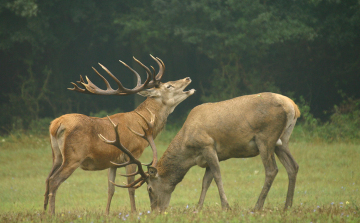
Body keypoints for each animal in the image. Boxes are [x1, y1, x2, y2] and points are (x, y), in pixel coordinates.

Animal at [43, 54, 195, 214]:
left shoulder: (113, 161)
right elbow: (131, 187)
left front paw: (107, 213)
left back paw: (44, 212)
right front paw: (134, 212)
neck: (144, 123)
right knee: (54, 181)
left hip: (57, 155)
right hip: (74, 156)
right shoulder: (133, 153)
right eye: (168, 86)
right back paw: (52, 213)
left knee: (47, 179)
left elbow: (111, 189)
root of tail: (57, 124)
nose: (188, 78)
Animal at [105, 92, 300, 213]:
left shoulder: (208, 146)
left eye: (150, 189)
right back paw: (287, 206)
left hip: (265, 137)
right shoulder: (210, 157)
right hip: (281, 141)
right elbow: (206, 181)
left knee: (272, 170)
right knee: (293, 166)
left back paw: (257, 206)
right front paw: (198, 208)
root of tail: (292, 106)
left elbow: (217, 176)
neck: (188, 151)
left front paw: (226, 206)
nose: (155, 211)